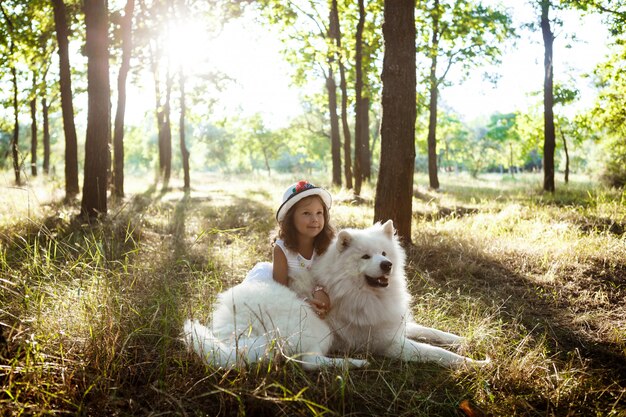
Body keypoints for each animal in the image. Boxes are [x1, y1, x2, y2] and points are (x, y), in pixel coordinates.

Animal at [183, 219, 486, 368]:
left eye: (384, 253)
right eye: (366, 257)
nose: (386, 265)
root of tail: (231, 327)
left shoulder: (394, 325)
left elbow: (433, 332)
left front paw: (465, 339)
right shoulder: (389, 343)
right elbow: (438, 353)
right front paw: (476, 363)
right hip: (317, 328)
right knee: (307, 362)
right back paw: (355, 363)